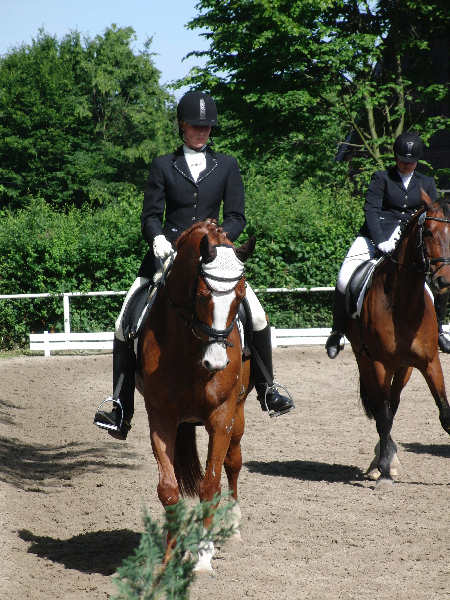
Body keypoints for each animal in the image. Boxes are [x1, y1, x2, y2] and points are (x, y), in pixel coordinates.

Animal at [136, 220, 256, 573]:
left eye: (240, 297)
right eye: (202, 296)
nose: (216, 363)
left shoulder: (221, 417)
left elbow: (210, 485)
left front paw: (203, 557)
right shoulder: (161, 417)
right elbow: (169, 489)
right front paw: (170, 557)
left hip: (238, 416)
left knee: (233, 463)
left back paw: (233, 527)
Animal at [345, 190, 450, 492]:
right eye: (428, 232)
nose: (443, 281)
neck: (404, 304)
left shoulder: (430, 362)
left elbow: (445, 414)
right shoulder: (380, 364)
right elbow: (382, 417)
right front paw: (383, 471)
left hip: (404, 369)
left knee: (392, 406)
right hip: (367, 362)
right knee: (383, 411)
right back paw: (381, 464)